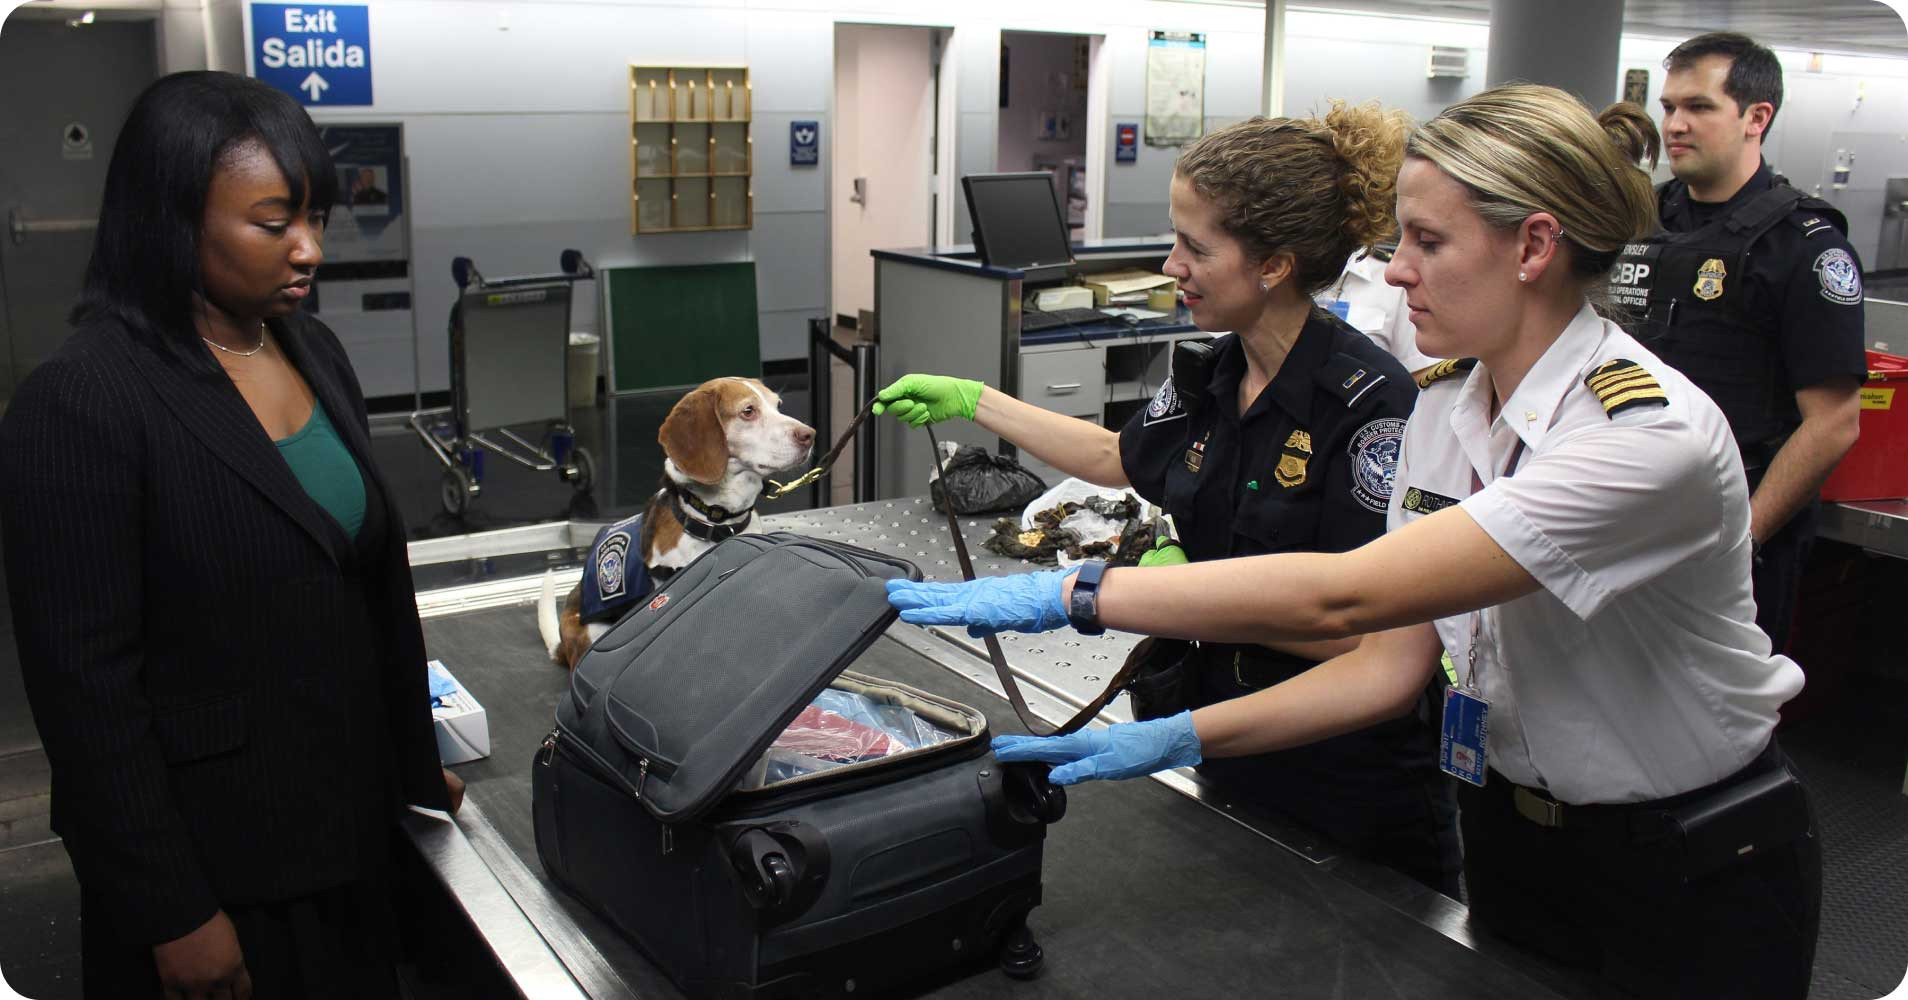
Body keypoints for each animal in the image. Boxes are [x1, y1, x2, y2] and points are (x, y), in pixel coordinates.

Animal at [538, 379, 812, 667]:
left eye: (778, 405)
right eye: (748, 411)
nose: (810, 435)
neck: (717, 519)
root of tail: (563, 646)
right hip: (594, 631)